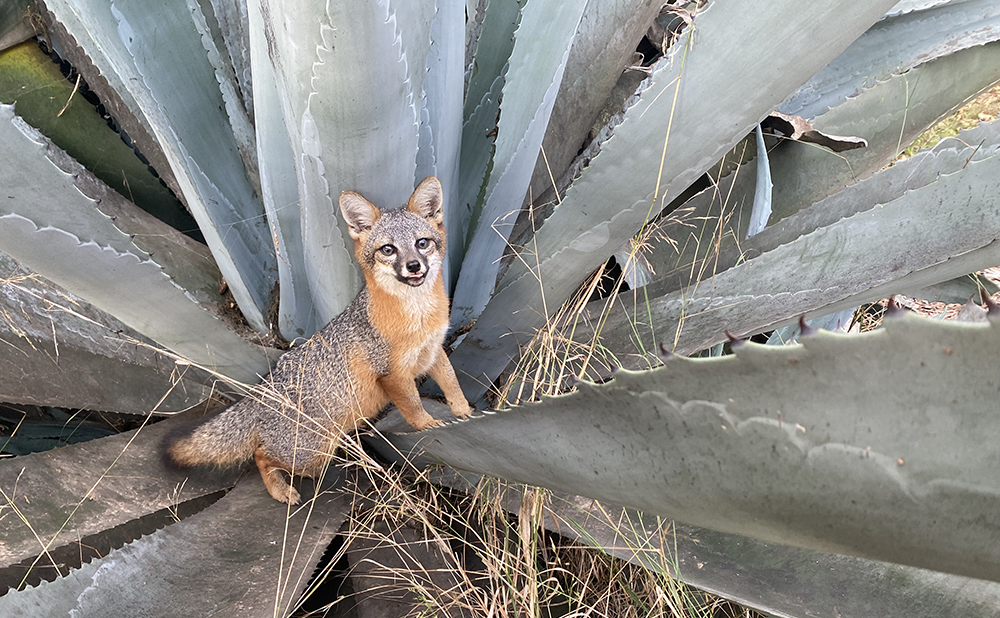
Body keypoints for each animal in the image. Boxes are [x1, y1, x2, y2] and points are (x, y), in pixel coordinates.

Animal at [166, 176, 470, 502]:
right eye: (388, 249)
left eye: (422, 243)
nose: (414, 266)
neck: (419, 317)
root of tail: (262, 393)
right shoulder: (392, 374)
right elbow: (413, 407)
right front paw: (429, 426)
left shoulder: (433, 350)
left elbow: (452, 383)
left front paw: (465, 413)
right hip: (313, 454)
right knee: (261, 456)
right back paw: (280, 490)